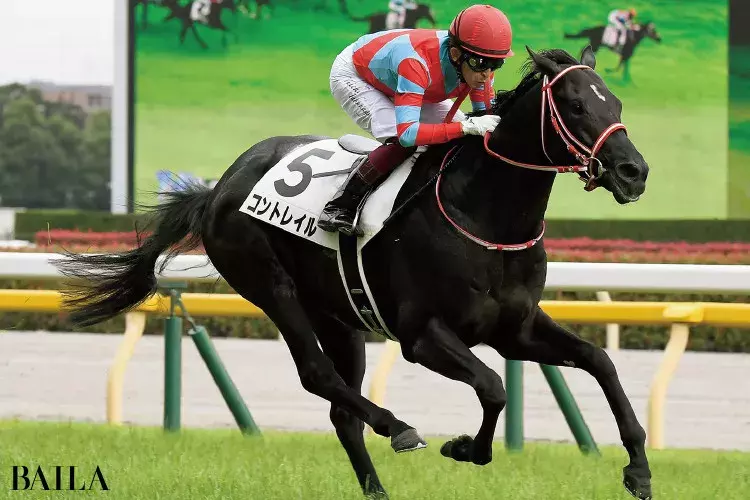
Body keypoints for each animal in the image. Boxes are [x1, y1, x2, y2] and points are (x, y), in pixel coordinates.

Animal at [54, 46, 652, 500]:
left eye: (617, 101)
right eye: (575, 105)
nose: (634, 171)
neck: (484, 214)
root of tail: (218, 186)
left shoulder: (515, 328)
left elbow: (598, 361)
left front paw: (639, 470)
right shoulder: (421, 335)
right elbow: (493, 386)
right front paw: (465, 448)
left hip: (338, 315)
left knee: (342, 409)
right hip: (272, 287)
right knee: (320, 376)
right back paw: (399, 427)